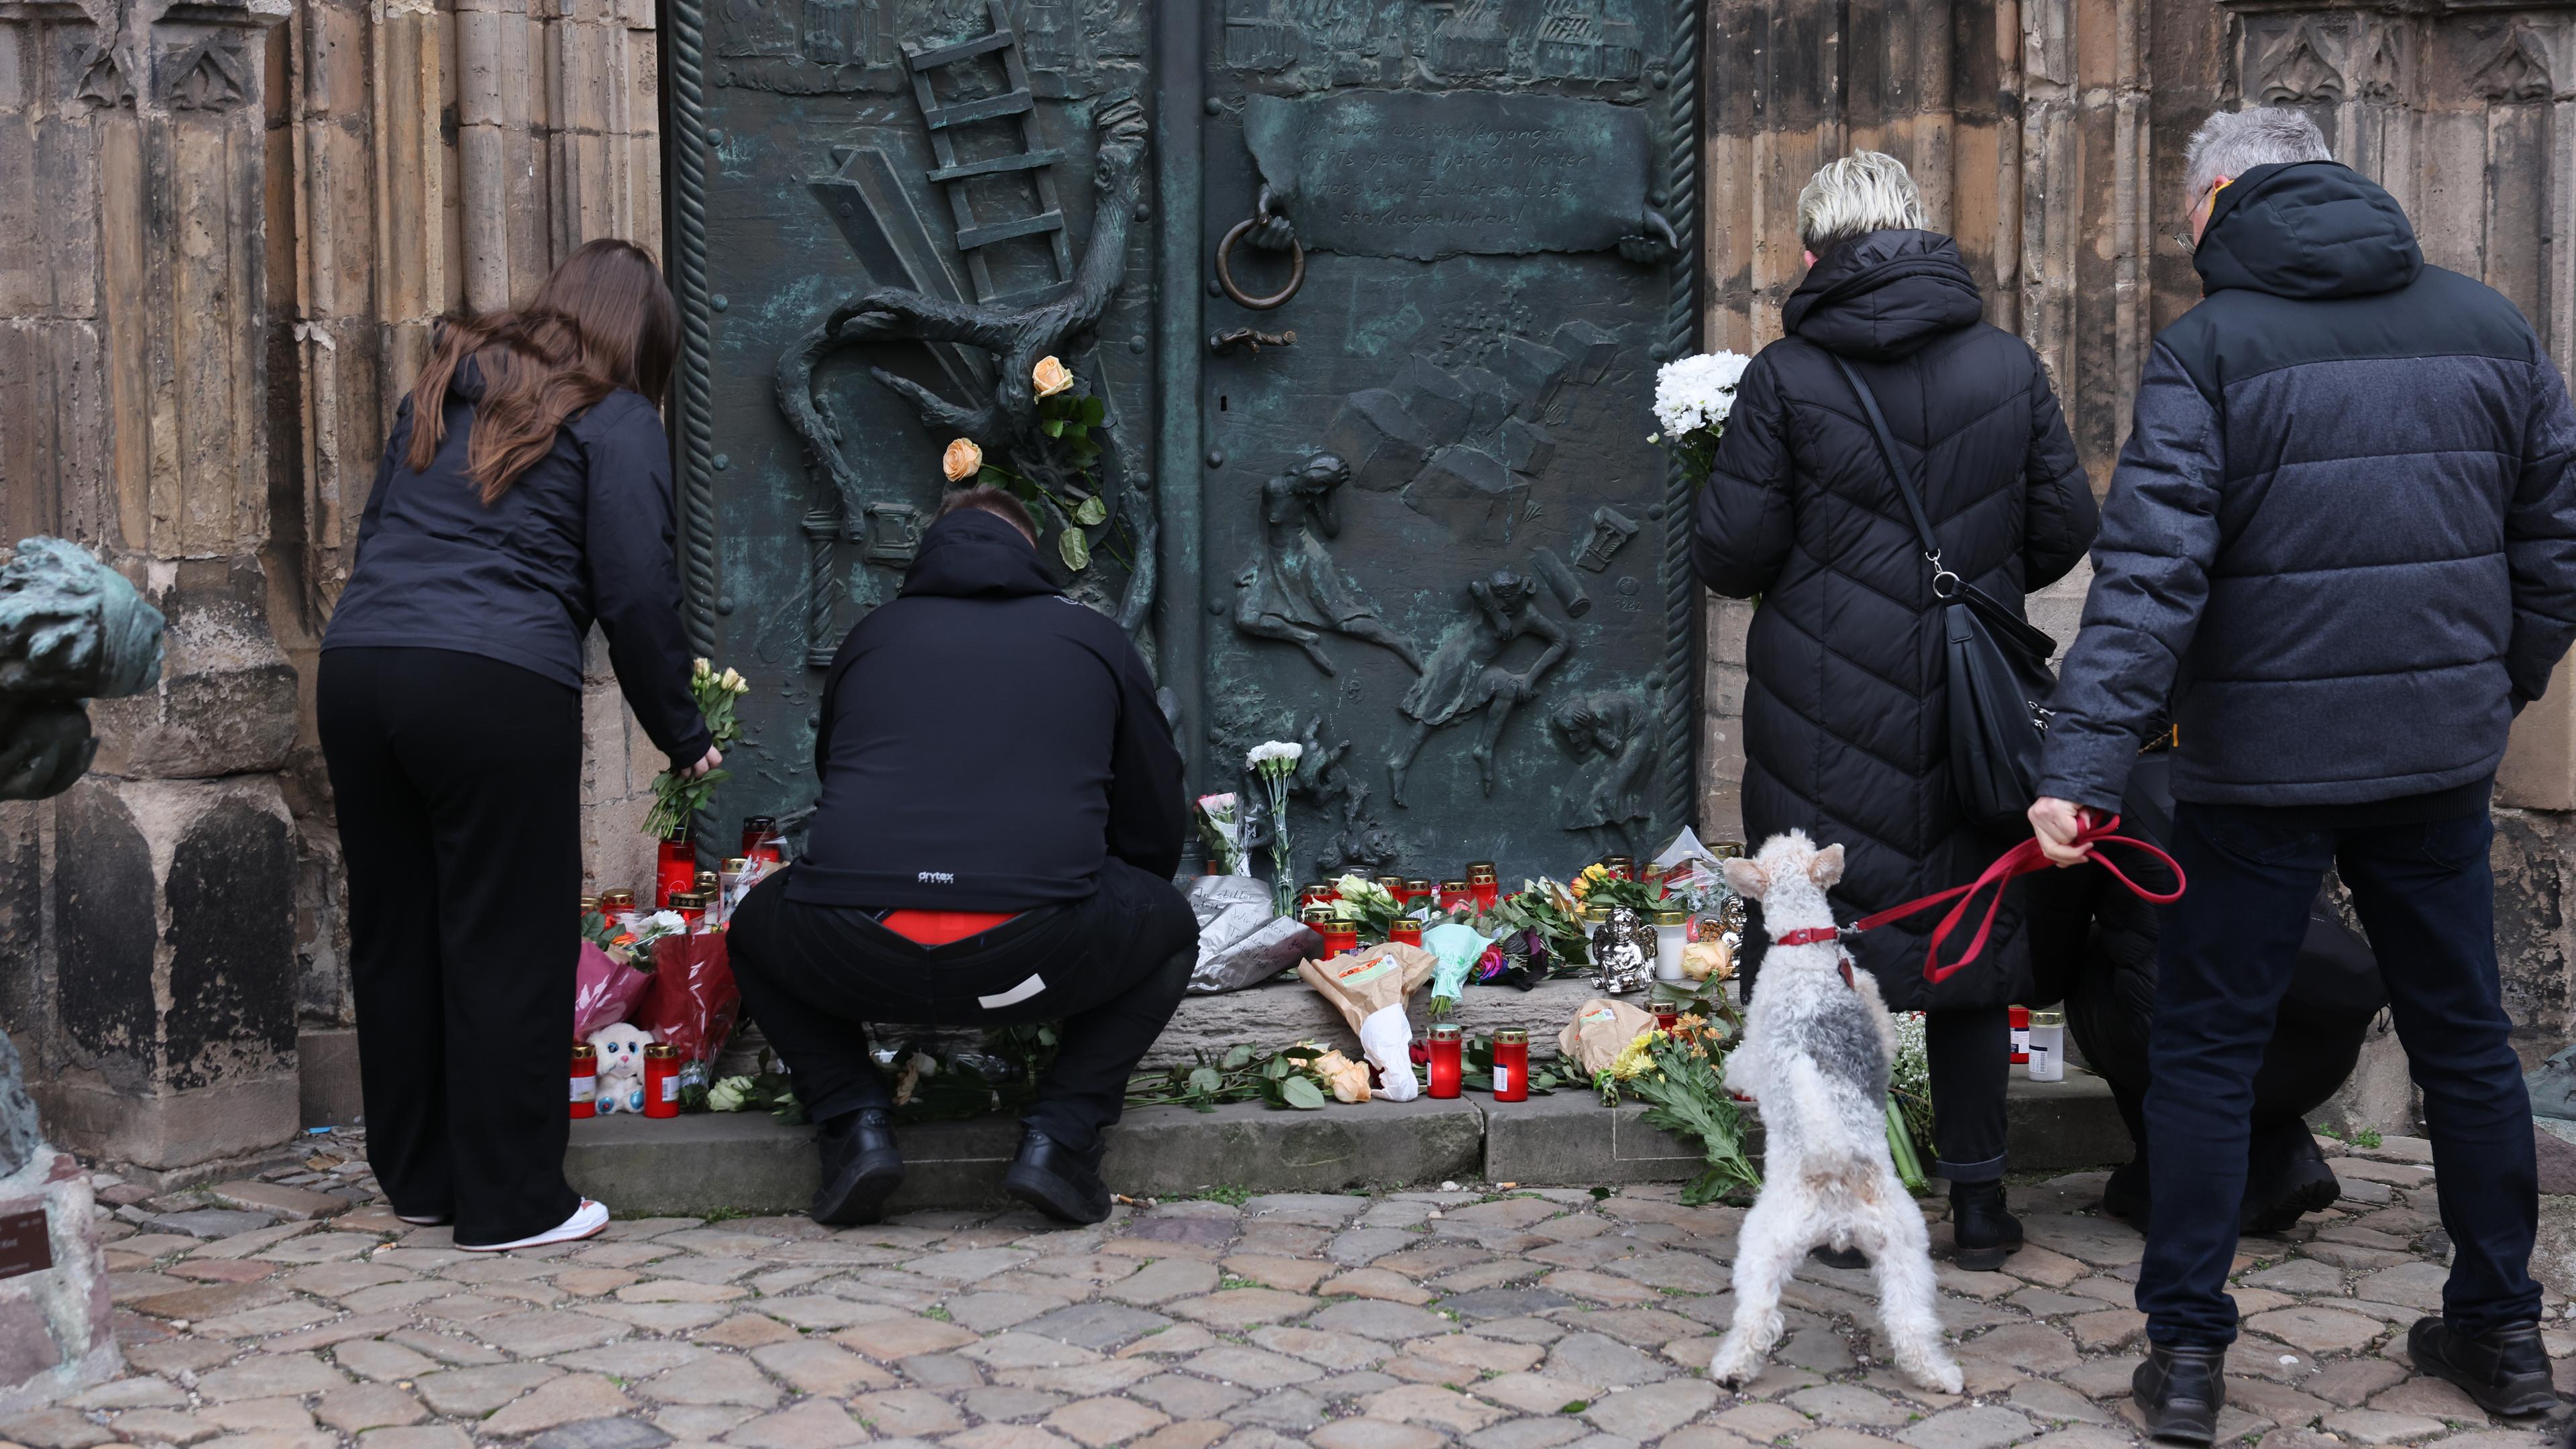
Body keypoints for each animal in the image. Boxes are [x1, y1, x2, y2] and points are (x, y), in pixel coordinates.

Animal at [1700, 835, 1957, 1392]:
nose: (1783, 837)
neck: (1805, 942)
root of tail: (1835, 1165)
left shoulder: (1756, 1044)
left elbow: (1740, 1064)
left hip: (1764, 1243)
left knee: (1755, 1315)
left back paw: (1730, 1368)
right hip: (1903, 1249)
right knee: (1911, 1323)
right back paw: (1939, 1376)